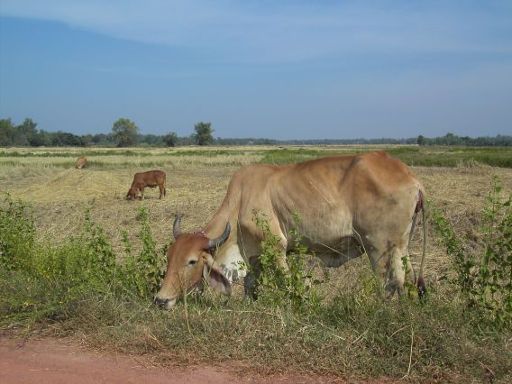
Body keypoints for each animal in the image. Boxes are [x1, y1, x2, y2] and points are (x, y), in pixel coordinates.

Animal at [154, 152, 426, 310]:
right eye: (169, 257)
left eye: (191, 261)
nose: (161, 299)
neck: (240, 201)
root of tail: (412, 178)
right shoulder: (255, 255)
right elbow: (250, 284)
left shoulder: (277, 248)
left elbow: (288, 284)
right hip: (401, 246)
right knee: (409, 281)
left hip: (378, 247)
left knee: (389, 283)